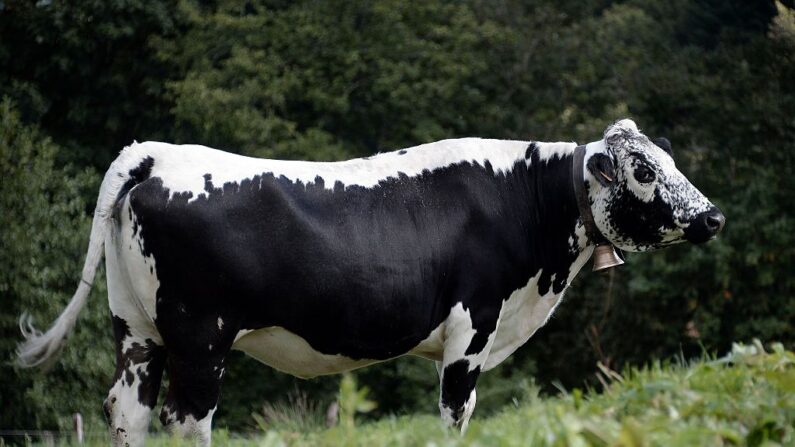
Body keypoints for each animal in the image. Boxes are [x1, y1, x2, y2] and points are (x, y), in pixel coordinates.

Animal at [18, 120, 728, 447]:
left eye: (668, 160)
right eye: (643, 170)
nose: (713, 216)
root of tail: (156, 153)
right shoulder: (472, 327)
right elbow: (456, 412)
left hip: (137, 328)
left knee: (128, 410)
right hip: (200, 336)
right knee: (186, 418)